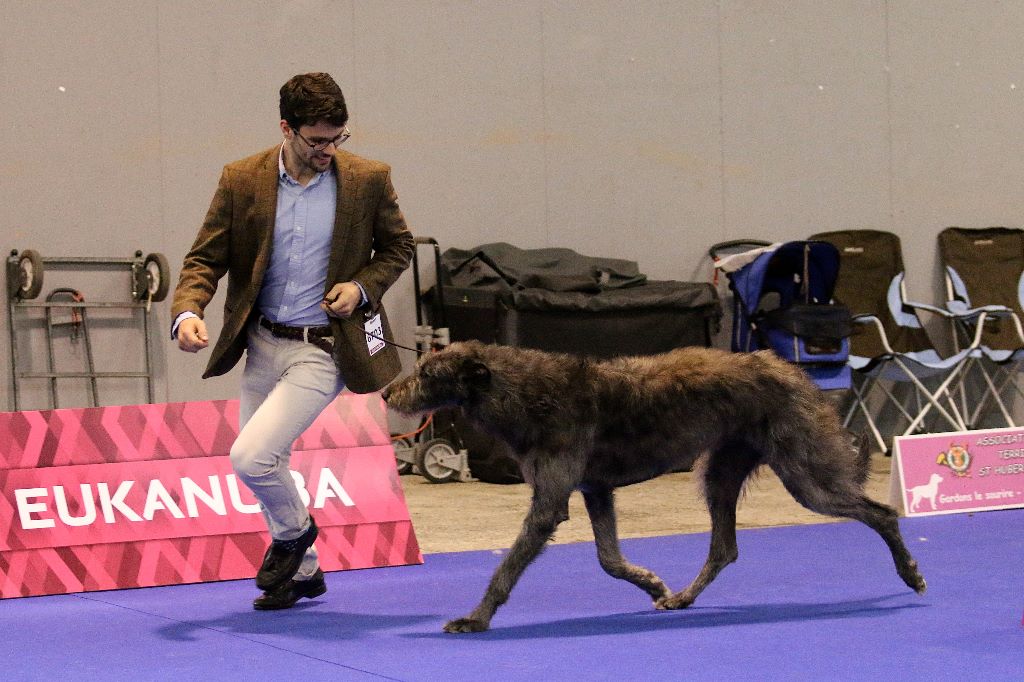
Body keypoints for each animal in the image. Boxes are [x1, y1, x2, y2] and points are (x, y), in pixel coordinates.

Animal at [385, 339, 929, 630]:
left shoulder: (551, 499)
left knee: (881, 513)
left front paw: (475, 619)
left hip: (804, 476)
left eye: (427, 372)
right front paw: (650, 582)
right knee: (725, 547)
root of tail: (791, 370)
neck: (524, 390)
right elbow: (608, 559)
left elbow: (508, 566)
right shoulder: (595, 490)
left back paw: (911, 575)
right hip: (721, 471)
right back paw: (682, 598)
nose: (387, 392)